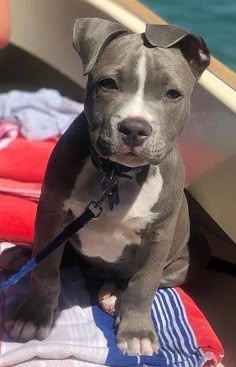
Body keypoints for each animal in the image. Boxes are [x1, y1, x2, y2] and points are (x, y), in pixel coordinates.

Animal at [6, 18, 210, 356]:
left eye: (172, 94)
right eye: (107, 84)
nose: (135, 128)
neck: (118, 175)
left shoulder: (159, 235)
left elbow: (143, 284)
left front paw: (136, 332)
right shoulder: (52, 213)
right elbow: (46, 270)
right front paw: (32, 318)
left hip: (178, 265)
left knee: (142, 281)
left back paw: (114, 296)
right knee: (55, 255)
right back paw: (20, 255)